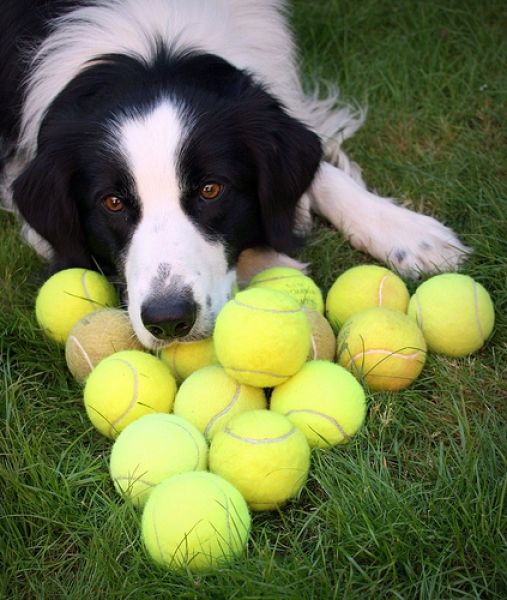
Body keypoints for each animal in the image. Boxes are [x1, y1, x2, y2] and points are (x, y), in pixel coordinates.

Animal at [0, 0, 470, 346]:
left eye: (211, 189)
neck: (152, 47)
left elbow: (320, 165)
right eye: (112, 202)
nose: (168, 320)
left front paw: (410, 234)